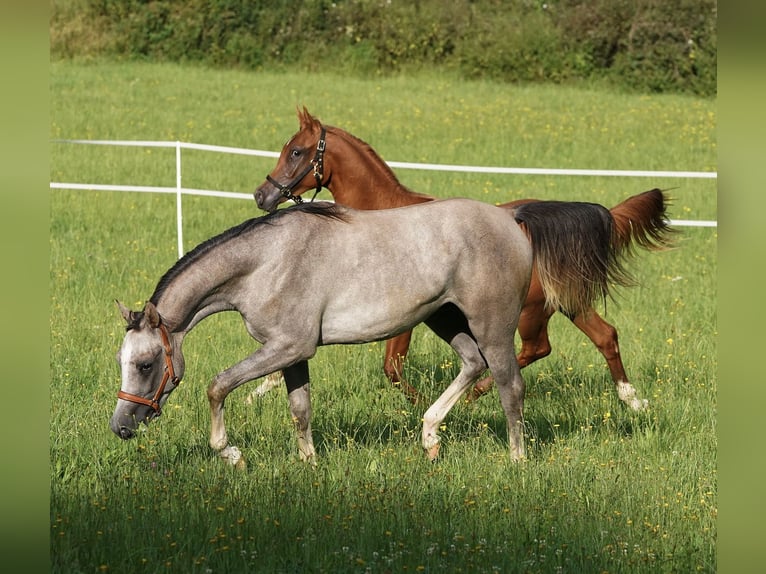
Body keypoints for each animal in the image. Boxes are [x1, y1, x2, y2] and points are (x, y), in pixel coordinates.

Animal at [254, 108, 672, 410]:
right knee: (606, 336)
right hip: (567, 302)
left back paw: (475, 395)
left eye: (296, 151)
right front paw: (263, 386)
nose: (262, 195)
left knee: (536, 349)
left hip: (529, 311)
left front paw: (428, 408)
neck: (385, 214)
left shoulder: (404, 315)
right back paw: (633, 401)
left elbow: (392, 368)